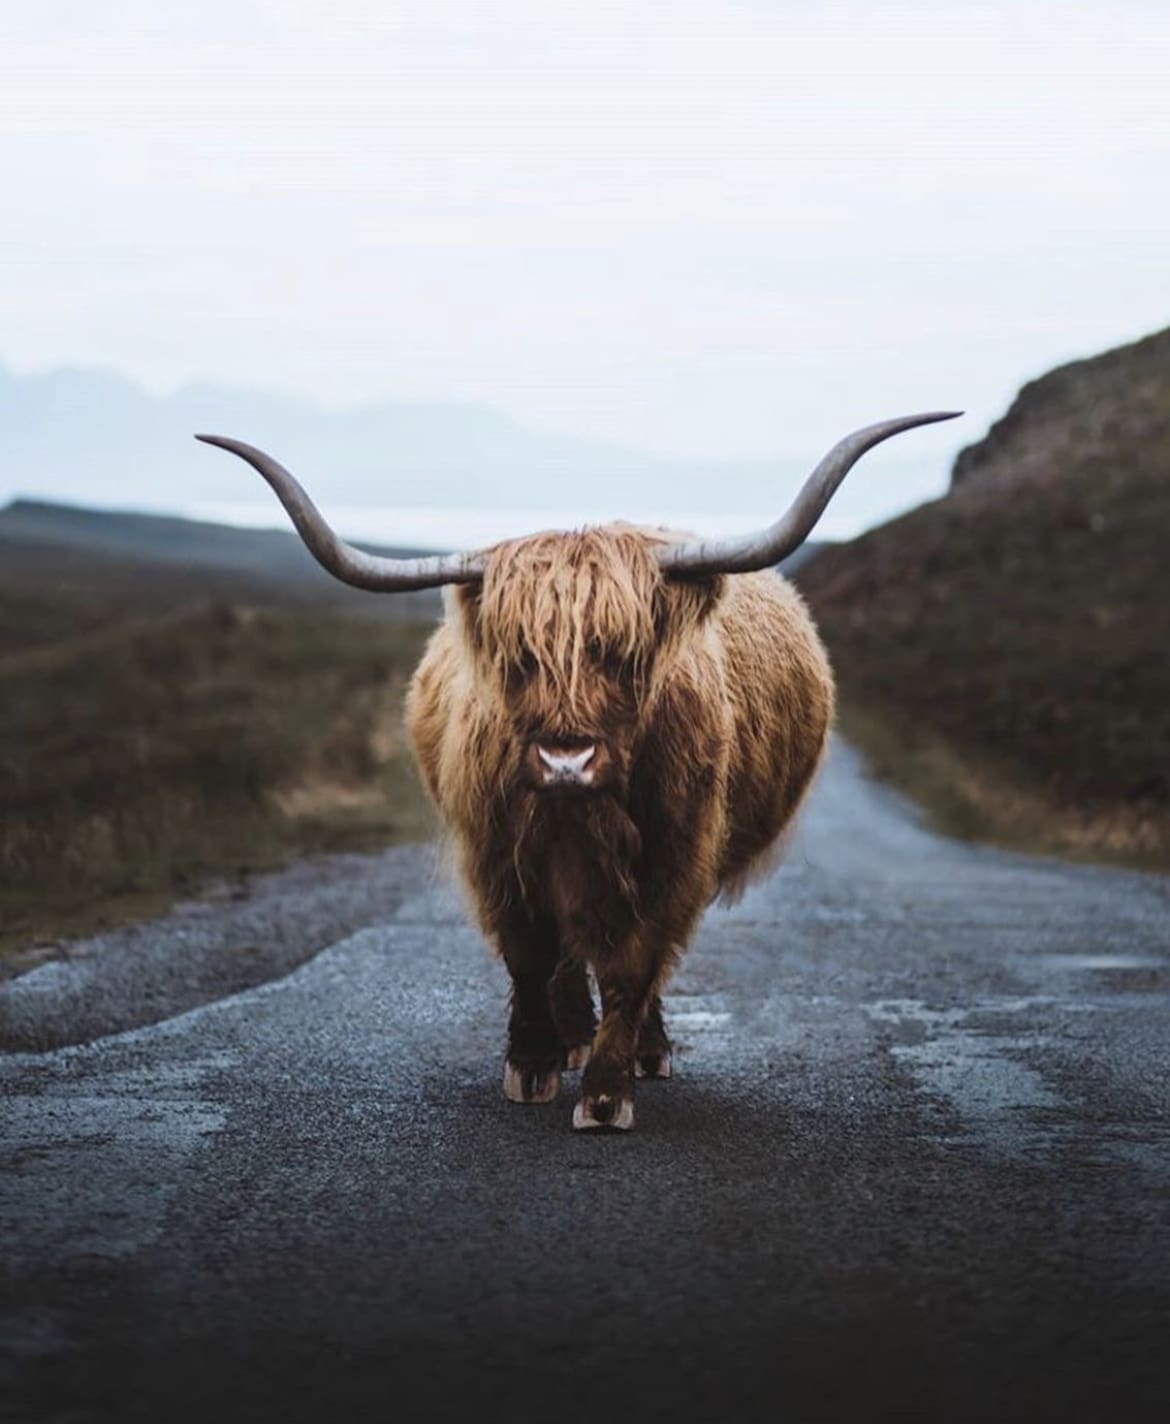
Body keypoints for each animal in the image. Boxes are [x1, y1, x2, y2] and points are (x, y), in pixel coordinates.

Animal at [198, 411, 958, 1130]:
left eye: (624, 654)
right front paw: (532, 1062)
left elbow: (634, 965)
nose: (566, 761)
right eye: (520, 658)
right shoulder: (499, 855)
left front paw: (605, 1093)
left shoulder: (671, 858)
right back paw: (570, 1037)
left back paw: (643, 1048)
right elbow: (530, 953)